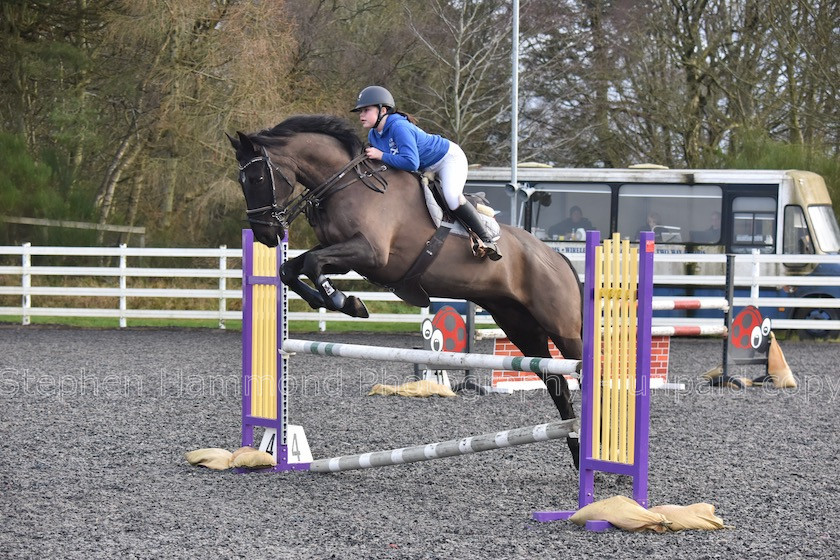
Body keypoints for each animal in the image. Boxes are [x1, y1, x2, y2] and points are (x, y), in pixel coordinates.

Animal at [230, 115, 584, 468]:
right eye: (241, 181)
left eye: (258, 177)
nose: (265, 235)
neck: (347, 183)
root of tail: (558, 257)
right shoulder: (346, 254)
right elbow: (292, 268)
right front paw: (343, 302)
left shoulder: (371, 254)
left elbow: (314, 264)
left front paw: (345, 301)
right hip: (520, 327)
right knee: (556, 382)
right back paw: (577, 447)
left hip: (561, 327)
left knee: (580, 369)